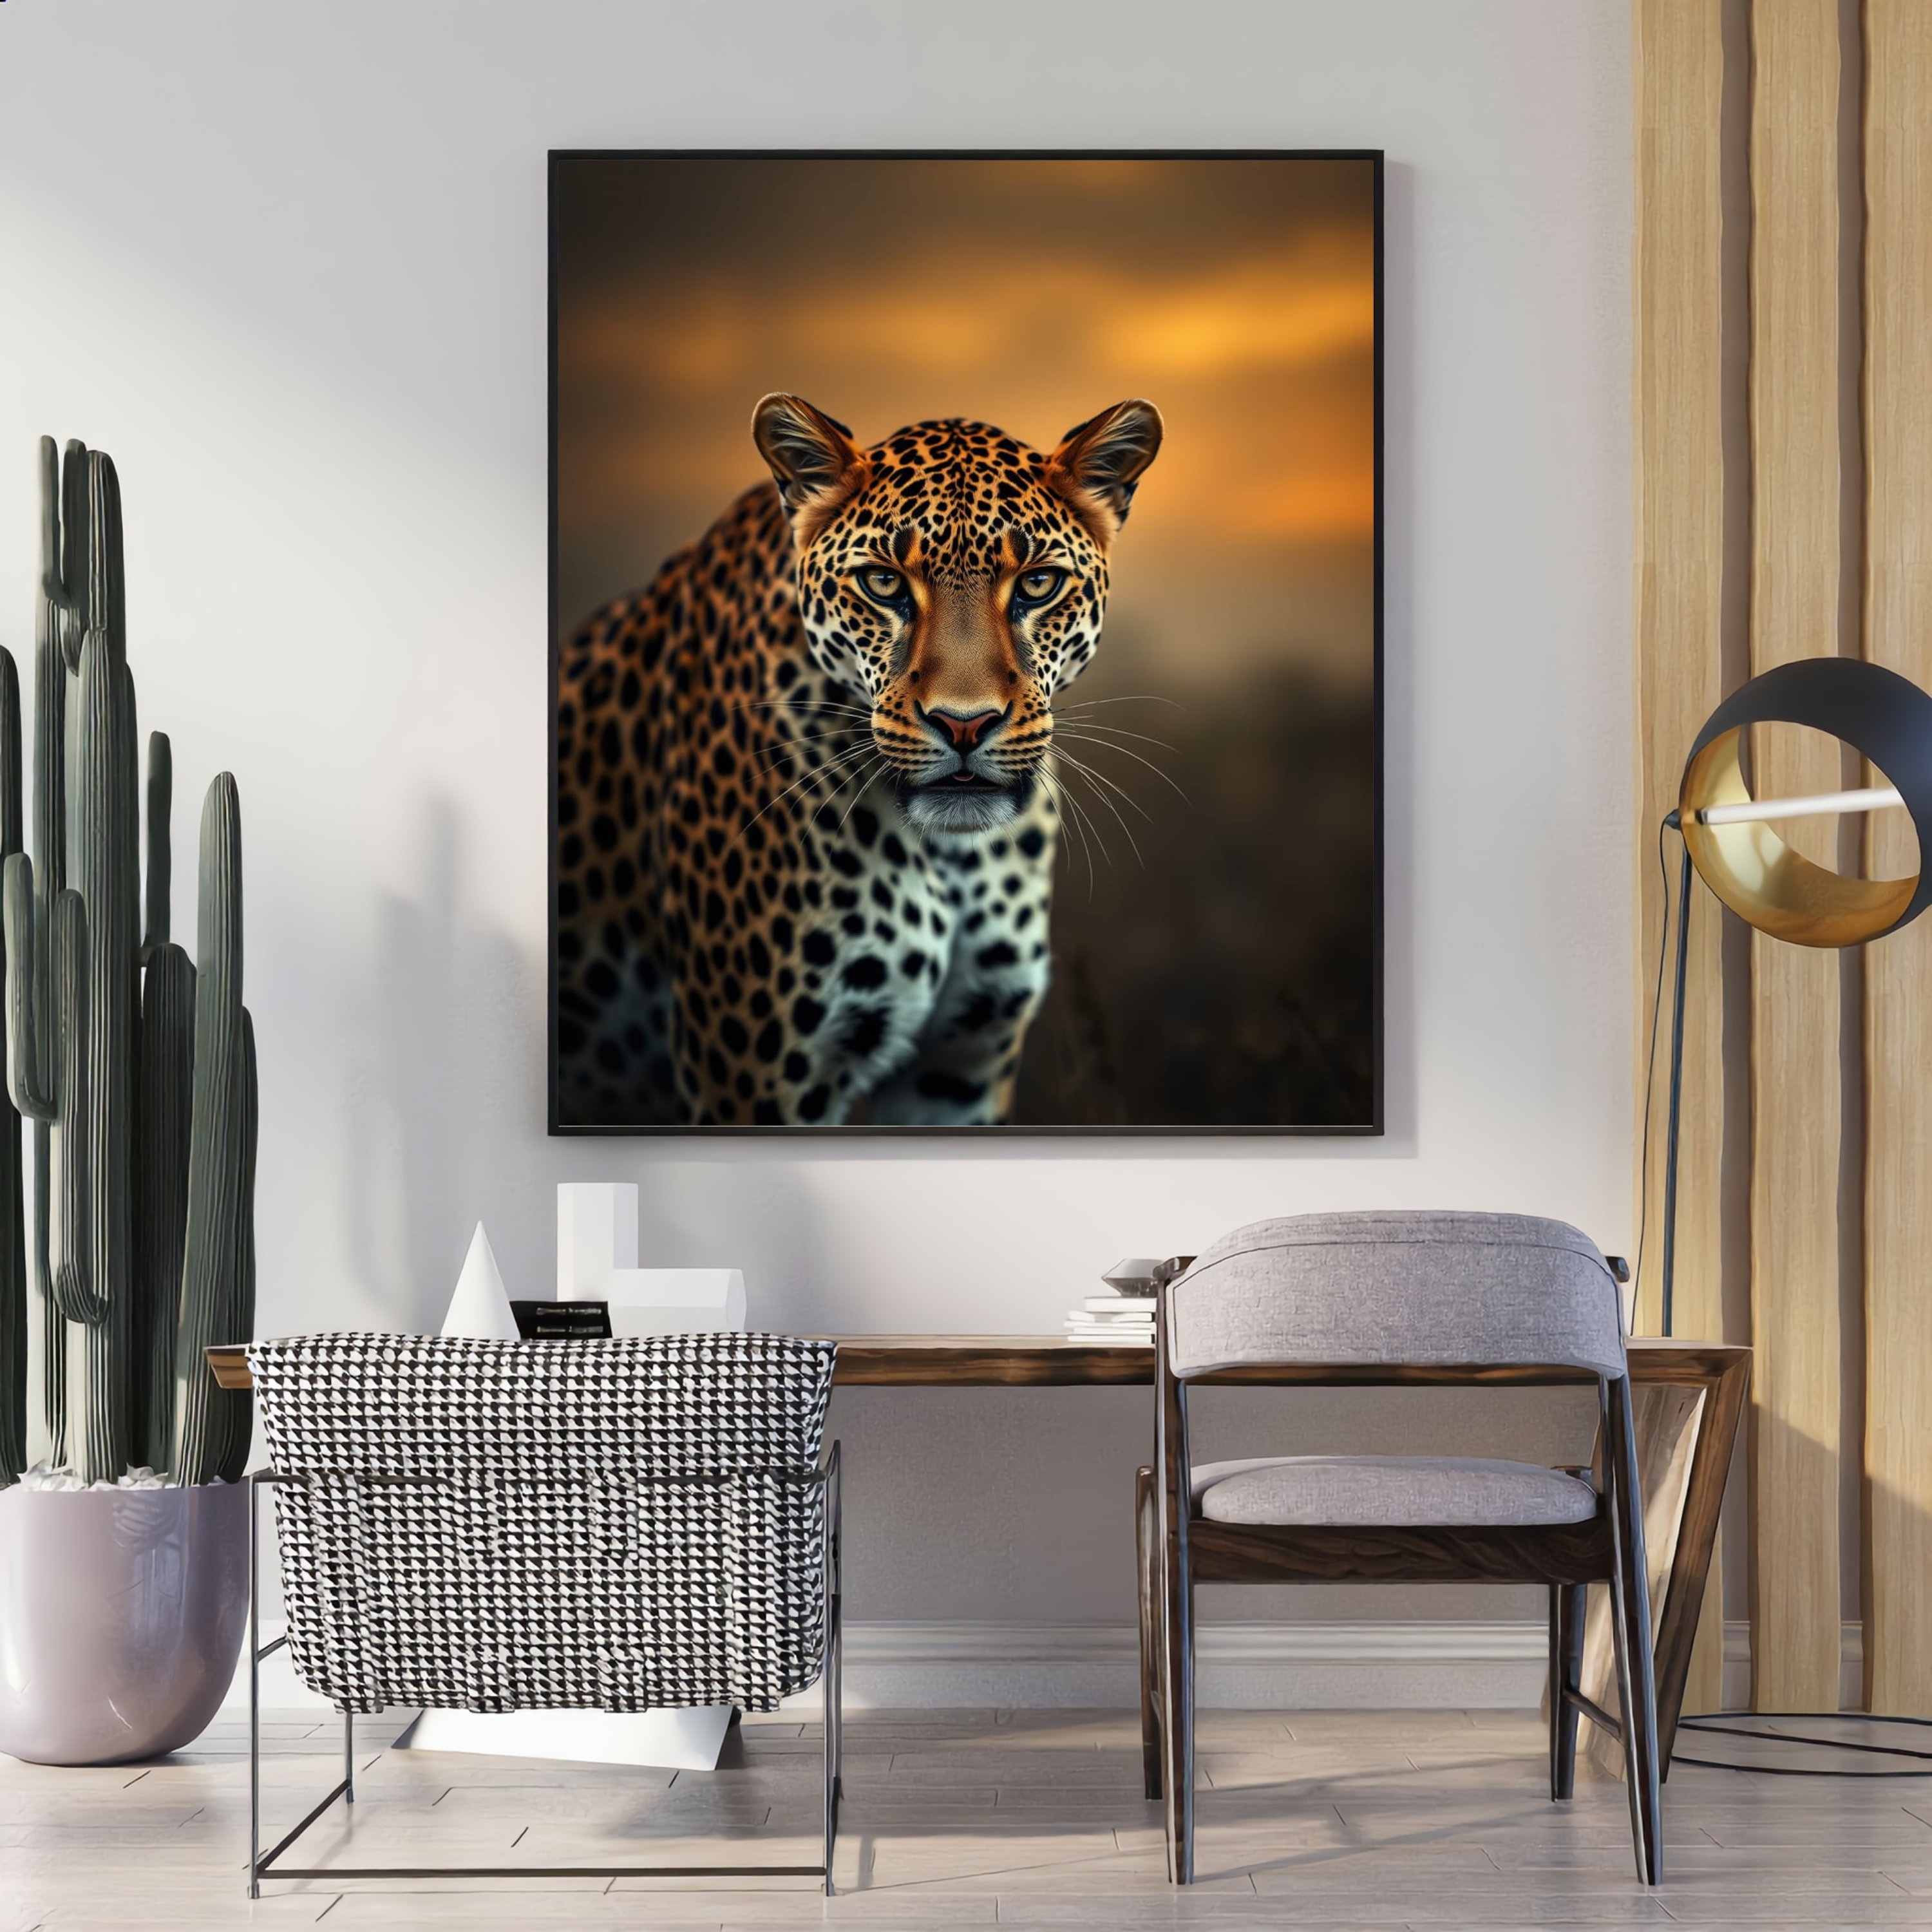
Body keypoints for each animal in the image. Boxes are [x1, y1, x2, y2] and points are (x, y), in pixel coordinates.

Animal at [554, 393, 1163, 1128]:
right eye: (882, 583)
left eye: (1039, 584)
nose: (965, 723)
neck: (952, 857)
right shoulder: (752, 1082)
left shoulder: (960, 1070)